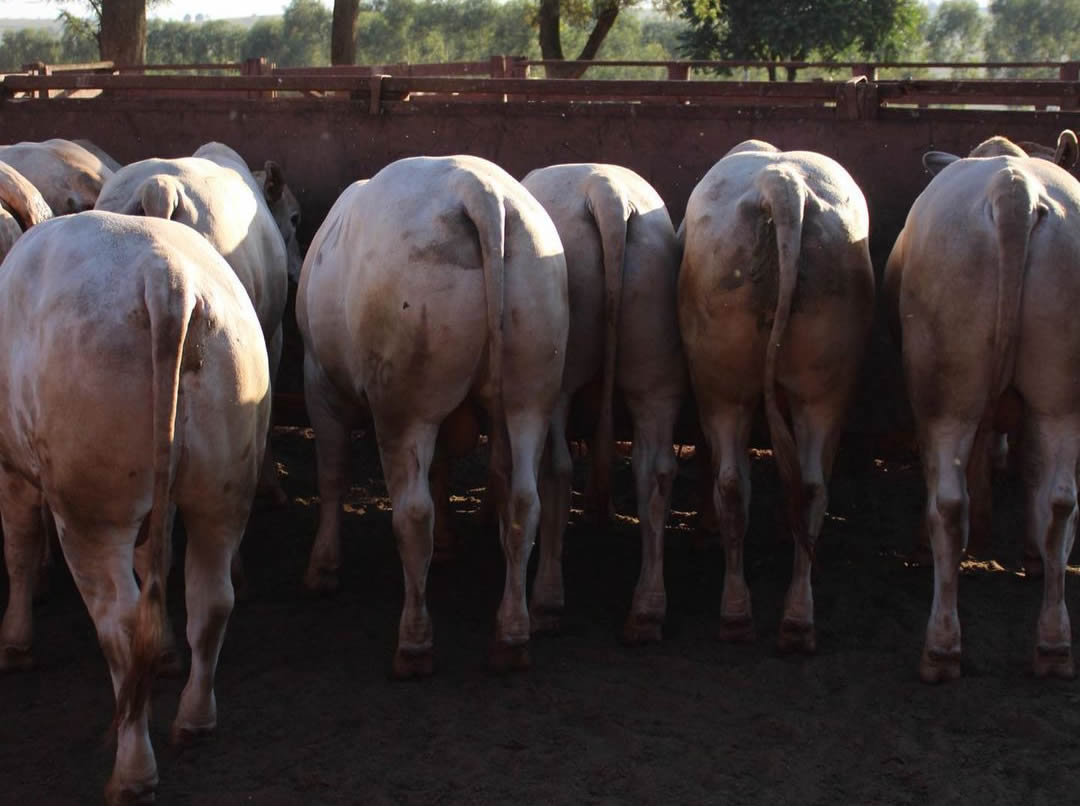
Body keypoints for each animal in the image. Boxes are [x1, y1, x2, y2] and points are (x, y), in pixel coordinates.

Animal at [0, 210, 268, 799]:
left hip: (90, 508)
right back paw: (194, 719)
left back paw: (133, 770)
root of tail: (166, 278)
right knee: (212, 598)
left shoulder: (12, 469)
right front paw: (168, 649)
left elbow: (21, 550)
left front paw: (15, 642)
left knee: (121, 626)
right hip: (225, 484)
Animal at [295, 155, 565, 669]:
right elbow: (442, 467)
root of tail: (480, 192)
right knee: (524, 501)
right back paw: (512, 635)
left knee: (413, 514)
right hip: (531, 389)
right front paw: (447, 547)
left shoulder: (320, 382)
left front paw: (322, 567)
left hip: (404, 402)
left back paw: (414, 642)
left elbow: (332, 475)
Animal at [520, 163, 682, 639]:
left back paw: (547, 599)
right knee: (656, 471)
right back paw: (647, 610)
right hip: (655, 361)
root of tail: (606, 195)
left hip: (561, 374)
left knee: (556, 468)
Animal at [682, 141, 876, 648]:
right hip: (807, 391)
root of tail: (782, 187)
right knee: (793, 486)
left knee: (748, 484)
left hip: (730, 388)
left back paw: (759, 615)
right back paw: (777, 616)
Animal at [885, 131, 1080, 678]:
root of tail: (1014, 191)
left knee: (954, 502)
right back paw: (1052, 642)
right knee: (1057, 500)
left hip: (947, 396)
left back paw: (943, 645)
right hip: (1058, 396)